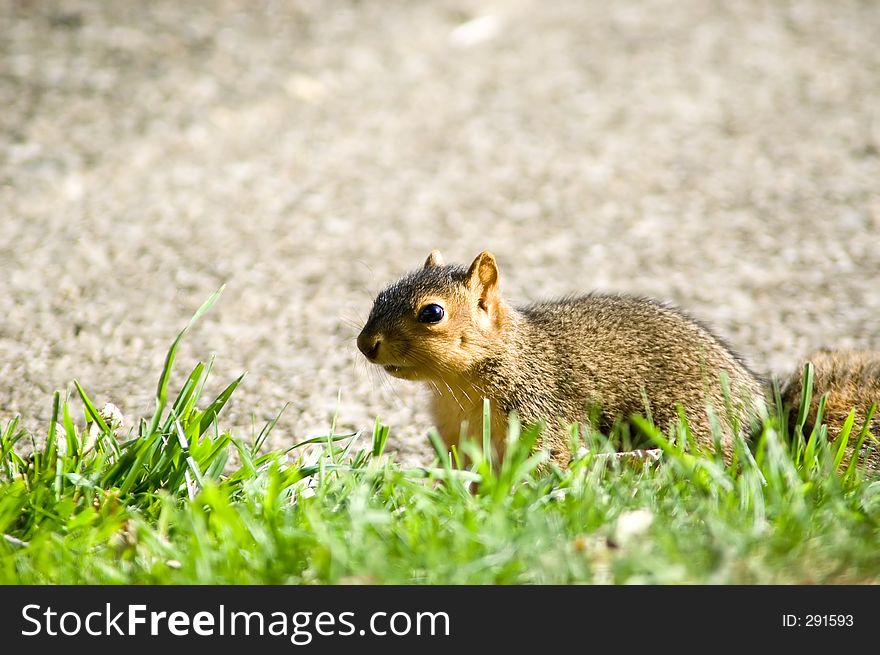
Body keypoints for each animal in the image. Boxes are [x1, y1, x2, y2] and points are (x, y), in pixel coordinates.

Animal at [358, 249, 880, 468]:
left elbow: (554, 461)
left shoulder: (545, 415)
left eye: (433, 313)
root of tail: (765, 413)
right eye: (380, 293)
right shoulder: (456, 437)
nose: (365, 344)